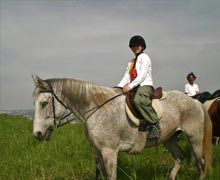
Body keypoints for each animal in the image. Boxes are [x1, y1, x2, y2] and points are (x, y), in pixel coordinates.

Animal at [31, 75, 212, 180]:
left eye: (44, 103)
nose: (37, 134)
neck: (97, 109)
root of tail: (195, 102)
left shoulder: (109, 152)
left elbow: (111, 176)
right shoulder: (97, 151)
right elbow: (99, 176)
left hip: (195, 139)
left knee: (200, 162)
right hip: (170, 139)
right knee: (180, 156)